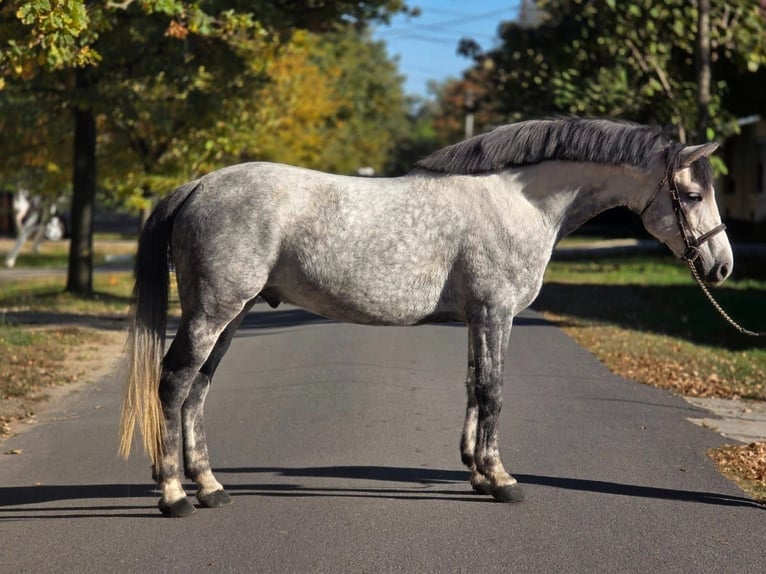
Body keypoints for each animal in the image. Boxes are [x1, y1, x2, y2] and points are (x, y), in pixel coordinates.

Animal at [118, 118, 733, 517]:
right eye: (693, 194)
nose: (722, 266)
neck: (519, 202)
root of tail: (198, 185)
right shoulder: (496, 312)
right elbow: (493, 391)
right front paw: (501, 479)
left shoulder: (478, 317)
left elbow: (473, 386)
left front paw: (477, 472)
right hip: (214, 312)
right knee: (174, 383)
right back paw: (174, 495)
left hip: (234, 315)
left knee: (197, 391)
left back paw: (210, 486)